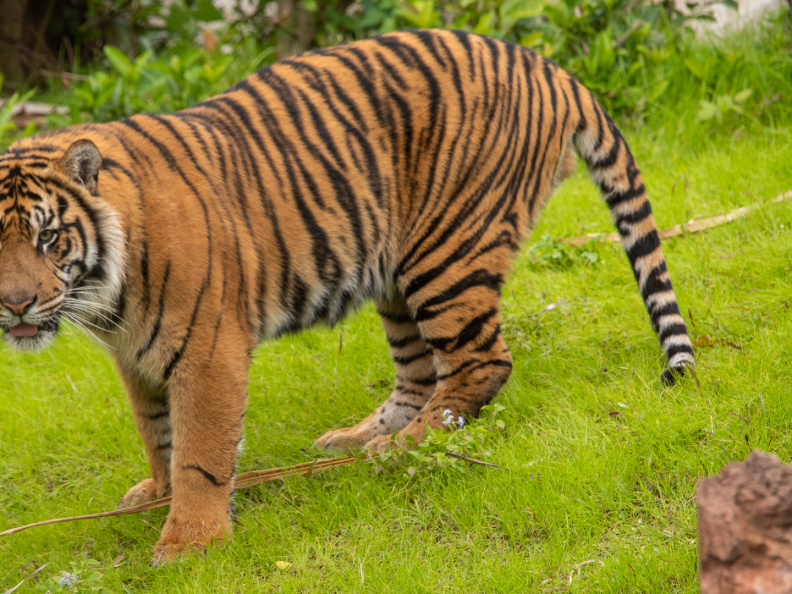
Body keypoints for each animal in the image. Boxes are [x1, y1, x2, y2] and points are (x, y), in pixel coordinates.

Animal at [0, 29, 695, 564]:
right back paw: (362, 440)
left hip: (446, 253)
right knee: (420, 373)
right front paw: (156, 493)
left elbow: (199, 450)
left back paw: (404, 447)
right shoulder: (137, 360)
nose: (16, 305)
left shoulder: (207, 350)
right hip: (396, 271)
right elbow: (156, 433)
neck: (106, 294)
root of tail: (544, 65)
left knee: (481, 363)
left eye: (47, 237)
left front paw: (191, 541)